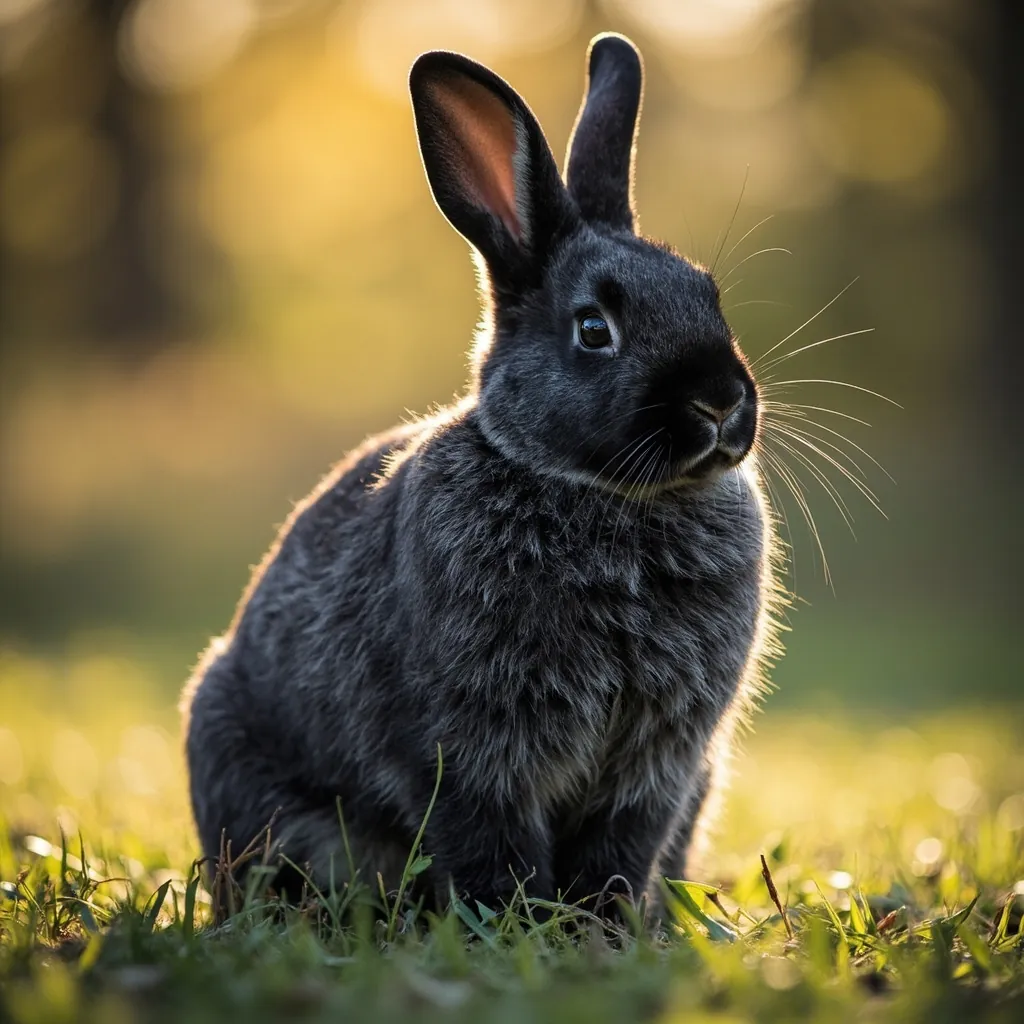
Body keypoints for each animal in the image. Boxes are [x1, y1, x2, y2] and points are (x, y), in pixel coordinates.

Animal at [181, 32, 783, 917]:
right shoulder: (470, 749)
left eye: (709, 296)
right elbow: (491, 843)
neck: (602, 494)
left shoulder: (657, 765)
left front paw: (601, 926)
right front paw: (522, 923)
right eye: (594, 329)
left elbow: (619, 851)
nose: (721, 401)